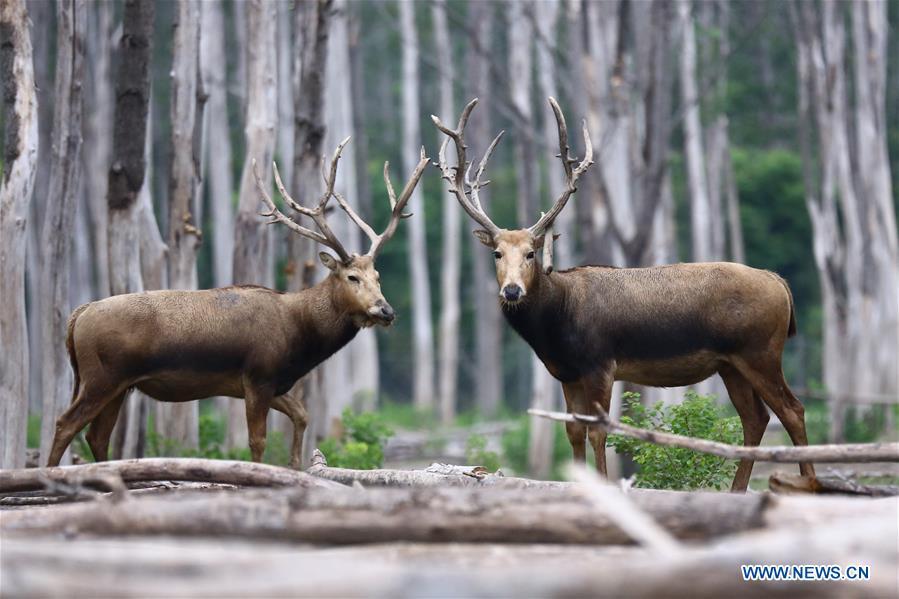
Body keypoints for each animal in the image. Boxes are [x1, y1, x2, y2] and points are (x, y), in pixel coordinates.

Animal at [46, 139, 432, 468]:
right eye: (352, 277)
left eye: (378, 276)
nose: (385, 311)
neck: (301, 336)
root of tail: (77, 316)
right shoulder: (258, 375)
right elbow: (257, 441)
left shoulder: (274, 383)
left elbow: (302, 414)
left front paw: (296, 464)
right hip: (102, 376)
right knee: (65, 423)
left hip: (117, 384)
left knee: (96, 436)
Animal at [432, 99, 820, 492]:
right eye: (497, 253)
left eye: (530, 253)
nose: (512, 289)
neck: (556, 325)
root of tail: (780, 283)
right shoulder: (568, 374)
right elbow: (573, 432)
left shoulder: (600, 363)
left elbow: (599, 433)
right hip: (731, 364)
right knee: (756, 417)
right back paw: (738, 489)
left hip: (760, 351)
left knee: (792, 409)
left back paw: (809, 482)